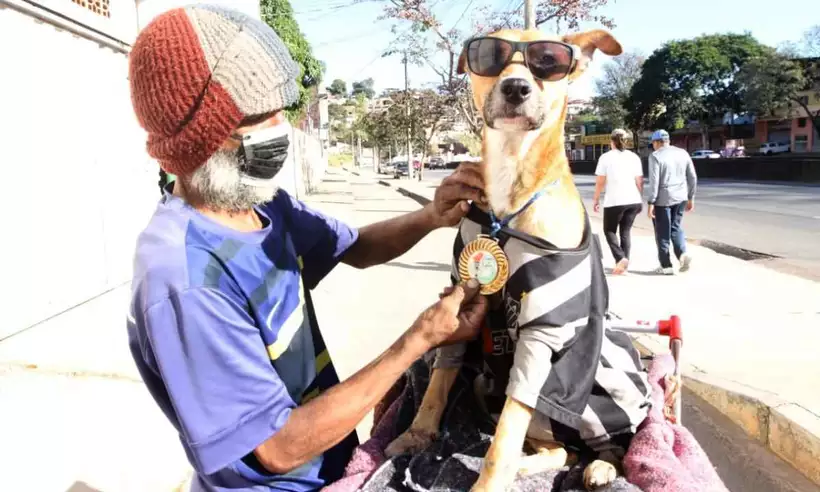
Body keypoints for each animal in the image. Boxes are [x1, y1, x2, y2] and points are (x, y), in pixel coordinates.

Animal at [388, 28, 656, 490]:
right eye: (487, 55)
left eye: (549, 61)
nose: (516, 88)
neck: (509, 190)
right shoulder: (462, 294)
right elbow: (440, 377)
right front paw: (417, 436)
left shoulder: (543, 331)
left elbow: (507, 431)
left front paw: (489, 482)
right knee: (559, 449)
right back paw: (533, 463)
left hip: (589, 396)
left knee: (600, 445)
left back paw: (599, 467)